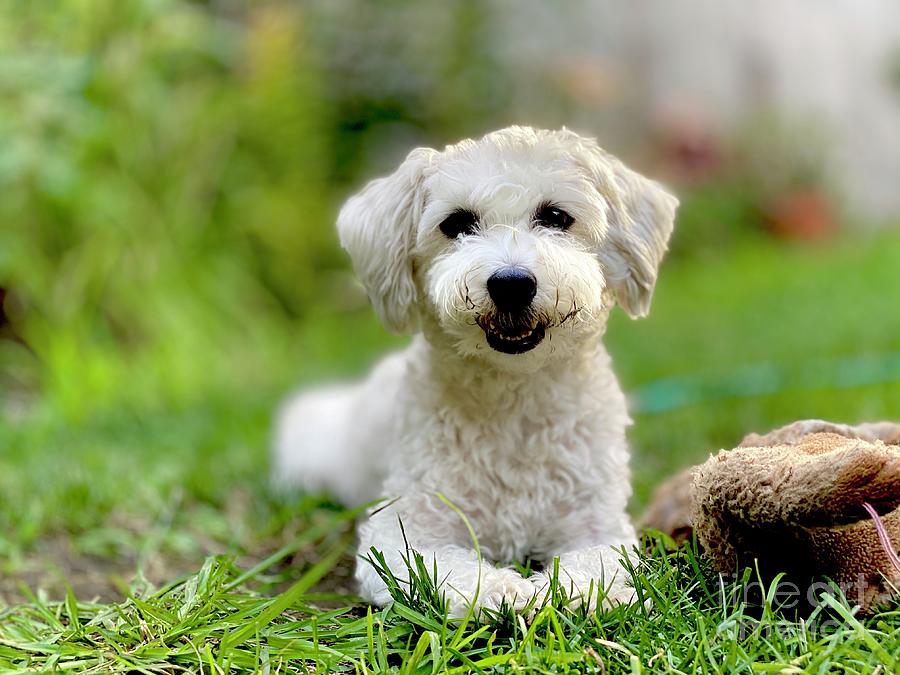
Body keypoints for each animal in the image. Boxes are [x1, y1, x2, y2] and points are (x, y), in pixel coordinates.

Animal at [274, 125, 676, 616]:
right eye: (456, 224)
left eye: (556, 216)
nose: (511, 283)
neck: (512, 397)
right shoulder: (405, 528)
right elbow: (446, 567)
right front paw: (502, 590)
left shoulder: (596, 524)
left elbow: (600, 565)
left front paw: (577, 592)